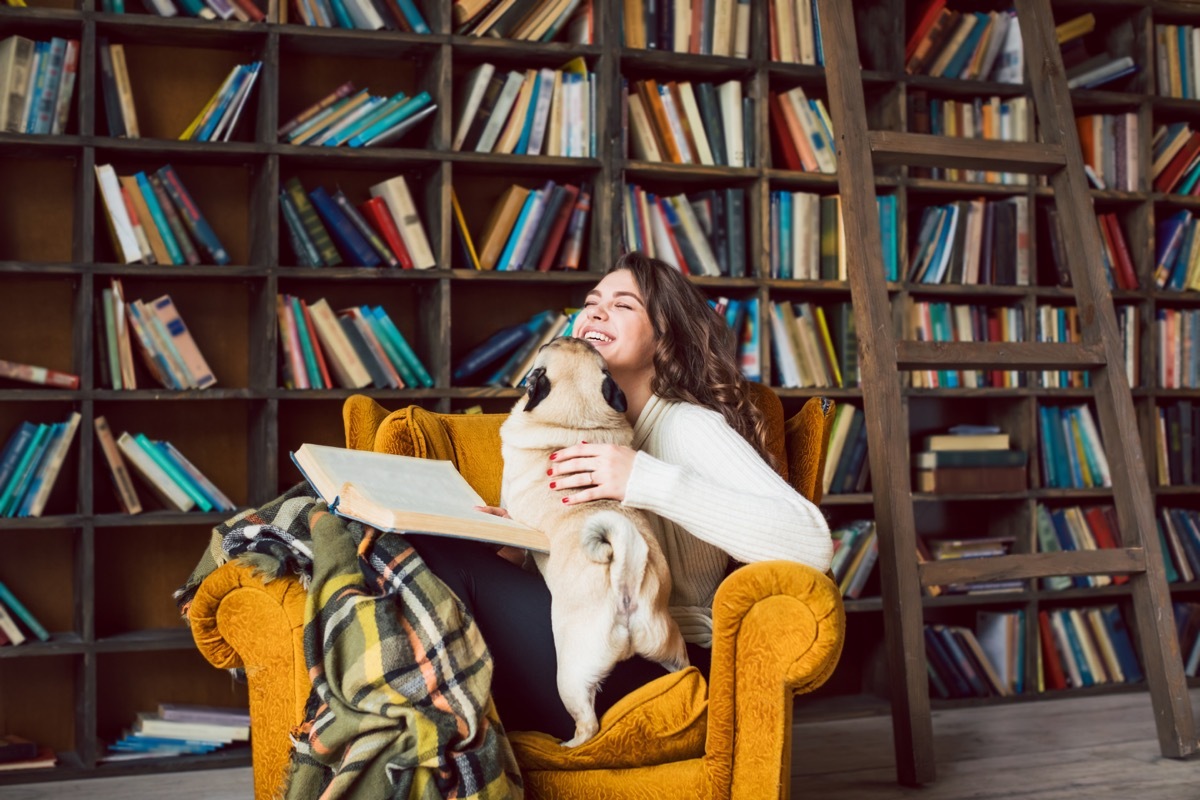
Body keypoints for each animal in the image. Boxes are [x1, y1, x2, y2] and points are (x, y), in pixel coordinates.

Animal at [496, 335, 686, 748]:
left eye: (551, 344)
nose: (572, 333)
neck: (575, 425)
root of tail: (625, 585)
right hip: (669, 644)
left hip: (571, 673)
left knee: (588, 724)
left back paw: (569, 746)